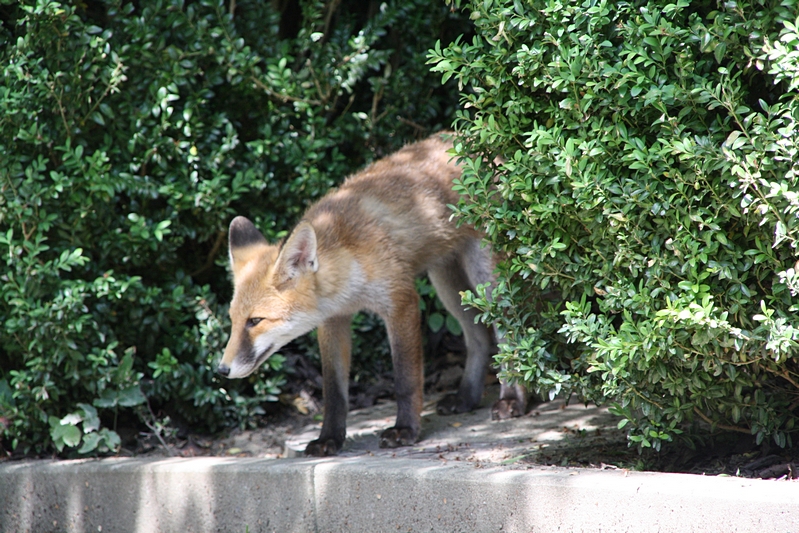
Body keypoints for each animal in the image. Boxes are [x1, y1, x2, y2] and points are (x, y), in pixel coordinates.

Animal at [217, 131, 524, 456]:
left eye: (255, 321)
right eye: (233, 321)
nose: (221, 370)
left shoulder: (401, 302)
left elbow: (405, 380)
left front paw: (405, 430)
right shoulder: (333, 322)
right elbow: (334, 392)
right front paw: (329, 438)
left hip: (485, 279)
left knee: (506, 334)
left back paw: (512, 400)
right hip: (449, 287)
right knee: (479, 339)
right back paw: (466, 397)